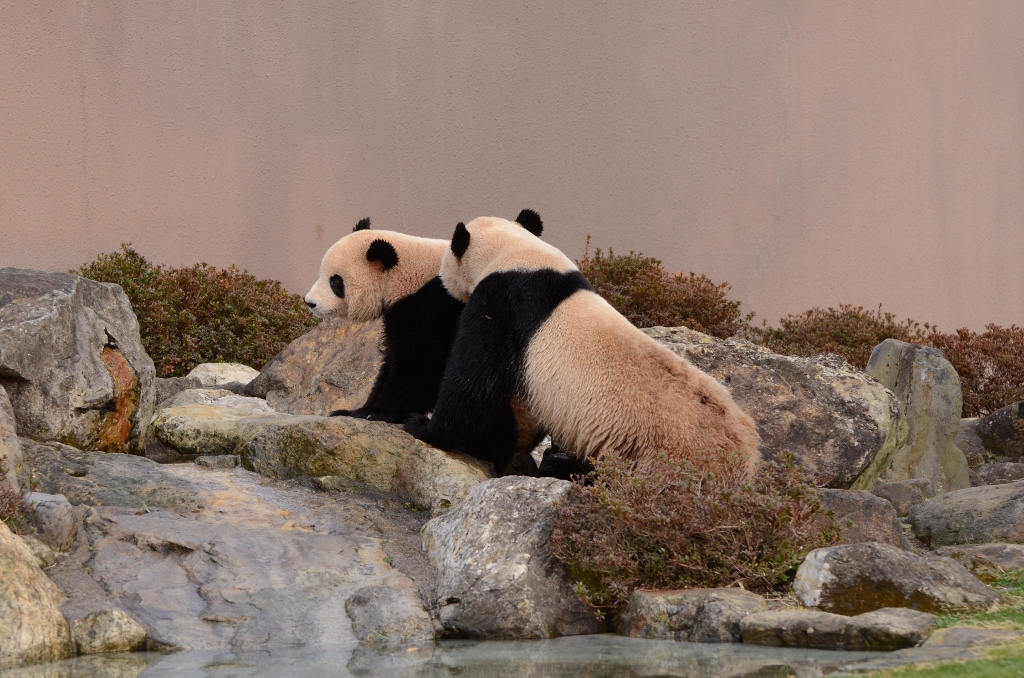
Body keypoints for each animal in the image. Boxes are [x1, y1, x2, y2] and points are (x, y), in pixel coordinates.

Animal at [303, 220, 464, 426]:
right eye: (321, 274)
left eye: (336, 282)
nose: (310, 302)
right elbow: (391, 359)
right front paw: (357, 410)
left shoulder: (436, 307)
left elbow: (423, 362)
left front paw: (380, 411)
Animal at [403, 215, 765, 475]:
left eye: (445, 262)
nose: (441, 282)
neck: (517, 253)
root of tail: (743, 457)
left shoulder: (503, 307)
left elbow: (474, 386)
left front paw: (424, 426)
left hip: (661, 457)